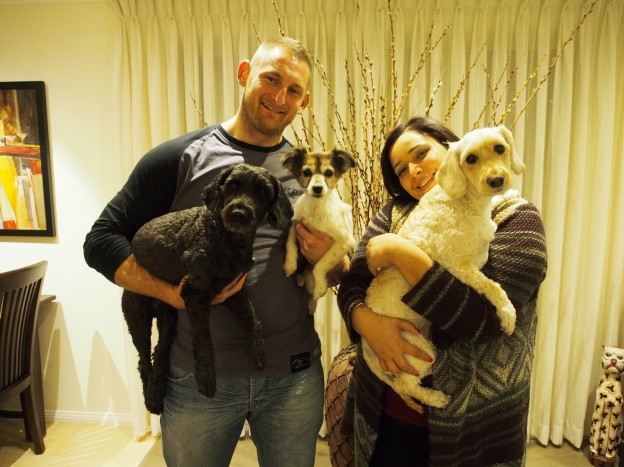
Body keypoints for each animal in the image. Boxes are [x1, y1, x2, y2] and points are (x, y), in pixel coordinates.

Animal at [123, 165, 294, 414]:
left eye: (262, 191)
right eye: (231, 185)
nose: (239, 213)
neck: (226, 241)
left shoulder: (231, 290)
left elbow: (252, 318)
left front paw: (257, 352)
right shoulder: (195, 294)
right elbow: (204, 341)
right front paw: (205, 379)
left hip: (168, 319)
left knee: (161, 350)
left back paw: (157, 391)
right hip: (137, 318)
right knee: (143, 361)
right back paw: (152, 399)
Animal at [282, 146, 356, 314]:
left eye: (328, 173)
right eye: (306, 172)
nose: (317, 188)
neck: (316, 208)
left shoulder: (344, 242)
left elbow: (320, 265)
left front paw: (320, 286)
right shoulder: (296, 223)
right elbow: (290, 243)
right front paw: (290, 264)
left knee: (313, 293)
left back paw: (312, 302)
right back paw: (299, 278)